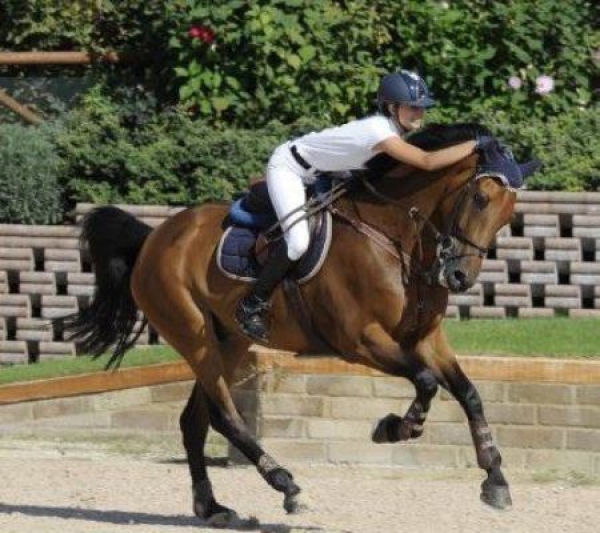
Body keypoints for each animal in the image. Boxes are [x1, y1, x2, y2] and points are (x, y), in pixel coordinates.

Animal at [59, 122, 540, 524]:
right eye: (480, 198)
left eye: (508, 214)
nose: (459, 277)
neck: (394, 236)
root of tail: (153, 239)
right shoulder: (361, 341)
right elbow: (425, 382)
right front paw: (393, 429)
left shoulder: (424, 338)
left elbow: (467, 392)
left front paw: (495, 479)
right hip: (193, 337)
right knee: (225, 416)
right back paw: (287, 486)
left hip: (227, 340)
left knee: (195, 421)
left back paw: (212, 507)